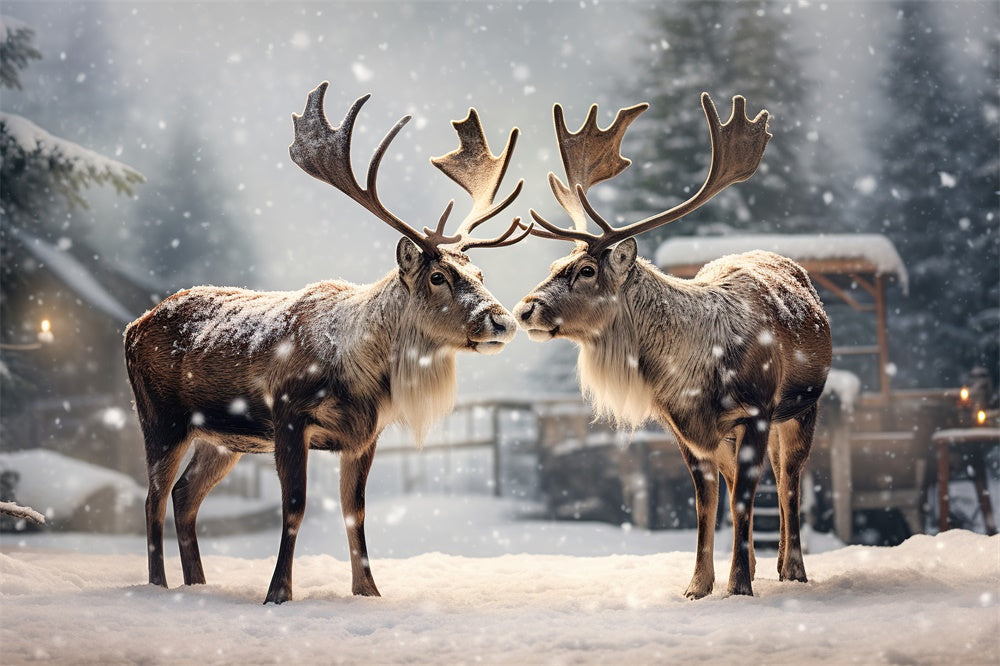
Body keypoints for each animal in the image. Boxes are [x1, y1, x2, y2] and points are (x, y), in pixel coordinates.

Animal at [125, 81, 531, 604]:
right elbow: (294, 506)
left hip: (222, 438)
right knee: (153, 498)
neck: (360, 372)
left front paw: (368, 591)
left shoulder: (364, 435)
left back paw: (197, 583)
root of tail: (132, 327)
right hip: (160, 417)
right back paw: (158, 585)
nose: (502, 321)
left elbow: (355, 512)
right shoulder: (288, 415)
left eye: (480, 274)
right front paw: (278, 593)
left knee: (183, 495)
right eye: (438, 276)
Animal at [514, 93, 832, 598]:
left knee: (789, 481)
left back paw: (793, 569)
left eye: (586, 270)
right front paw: (698, 585)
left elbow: (746, 499)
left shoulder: (757, 411)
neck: (697, 374)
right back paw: (765, 563)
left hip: (803, 407)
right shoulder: (682, 426)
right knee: (747, 483)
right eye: (554, 264)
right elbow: (706, 504)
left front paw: (739, 587)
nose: (525, 309)